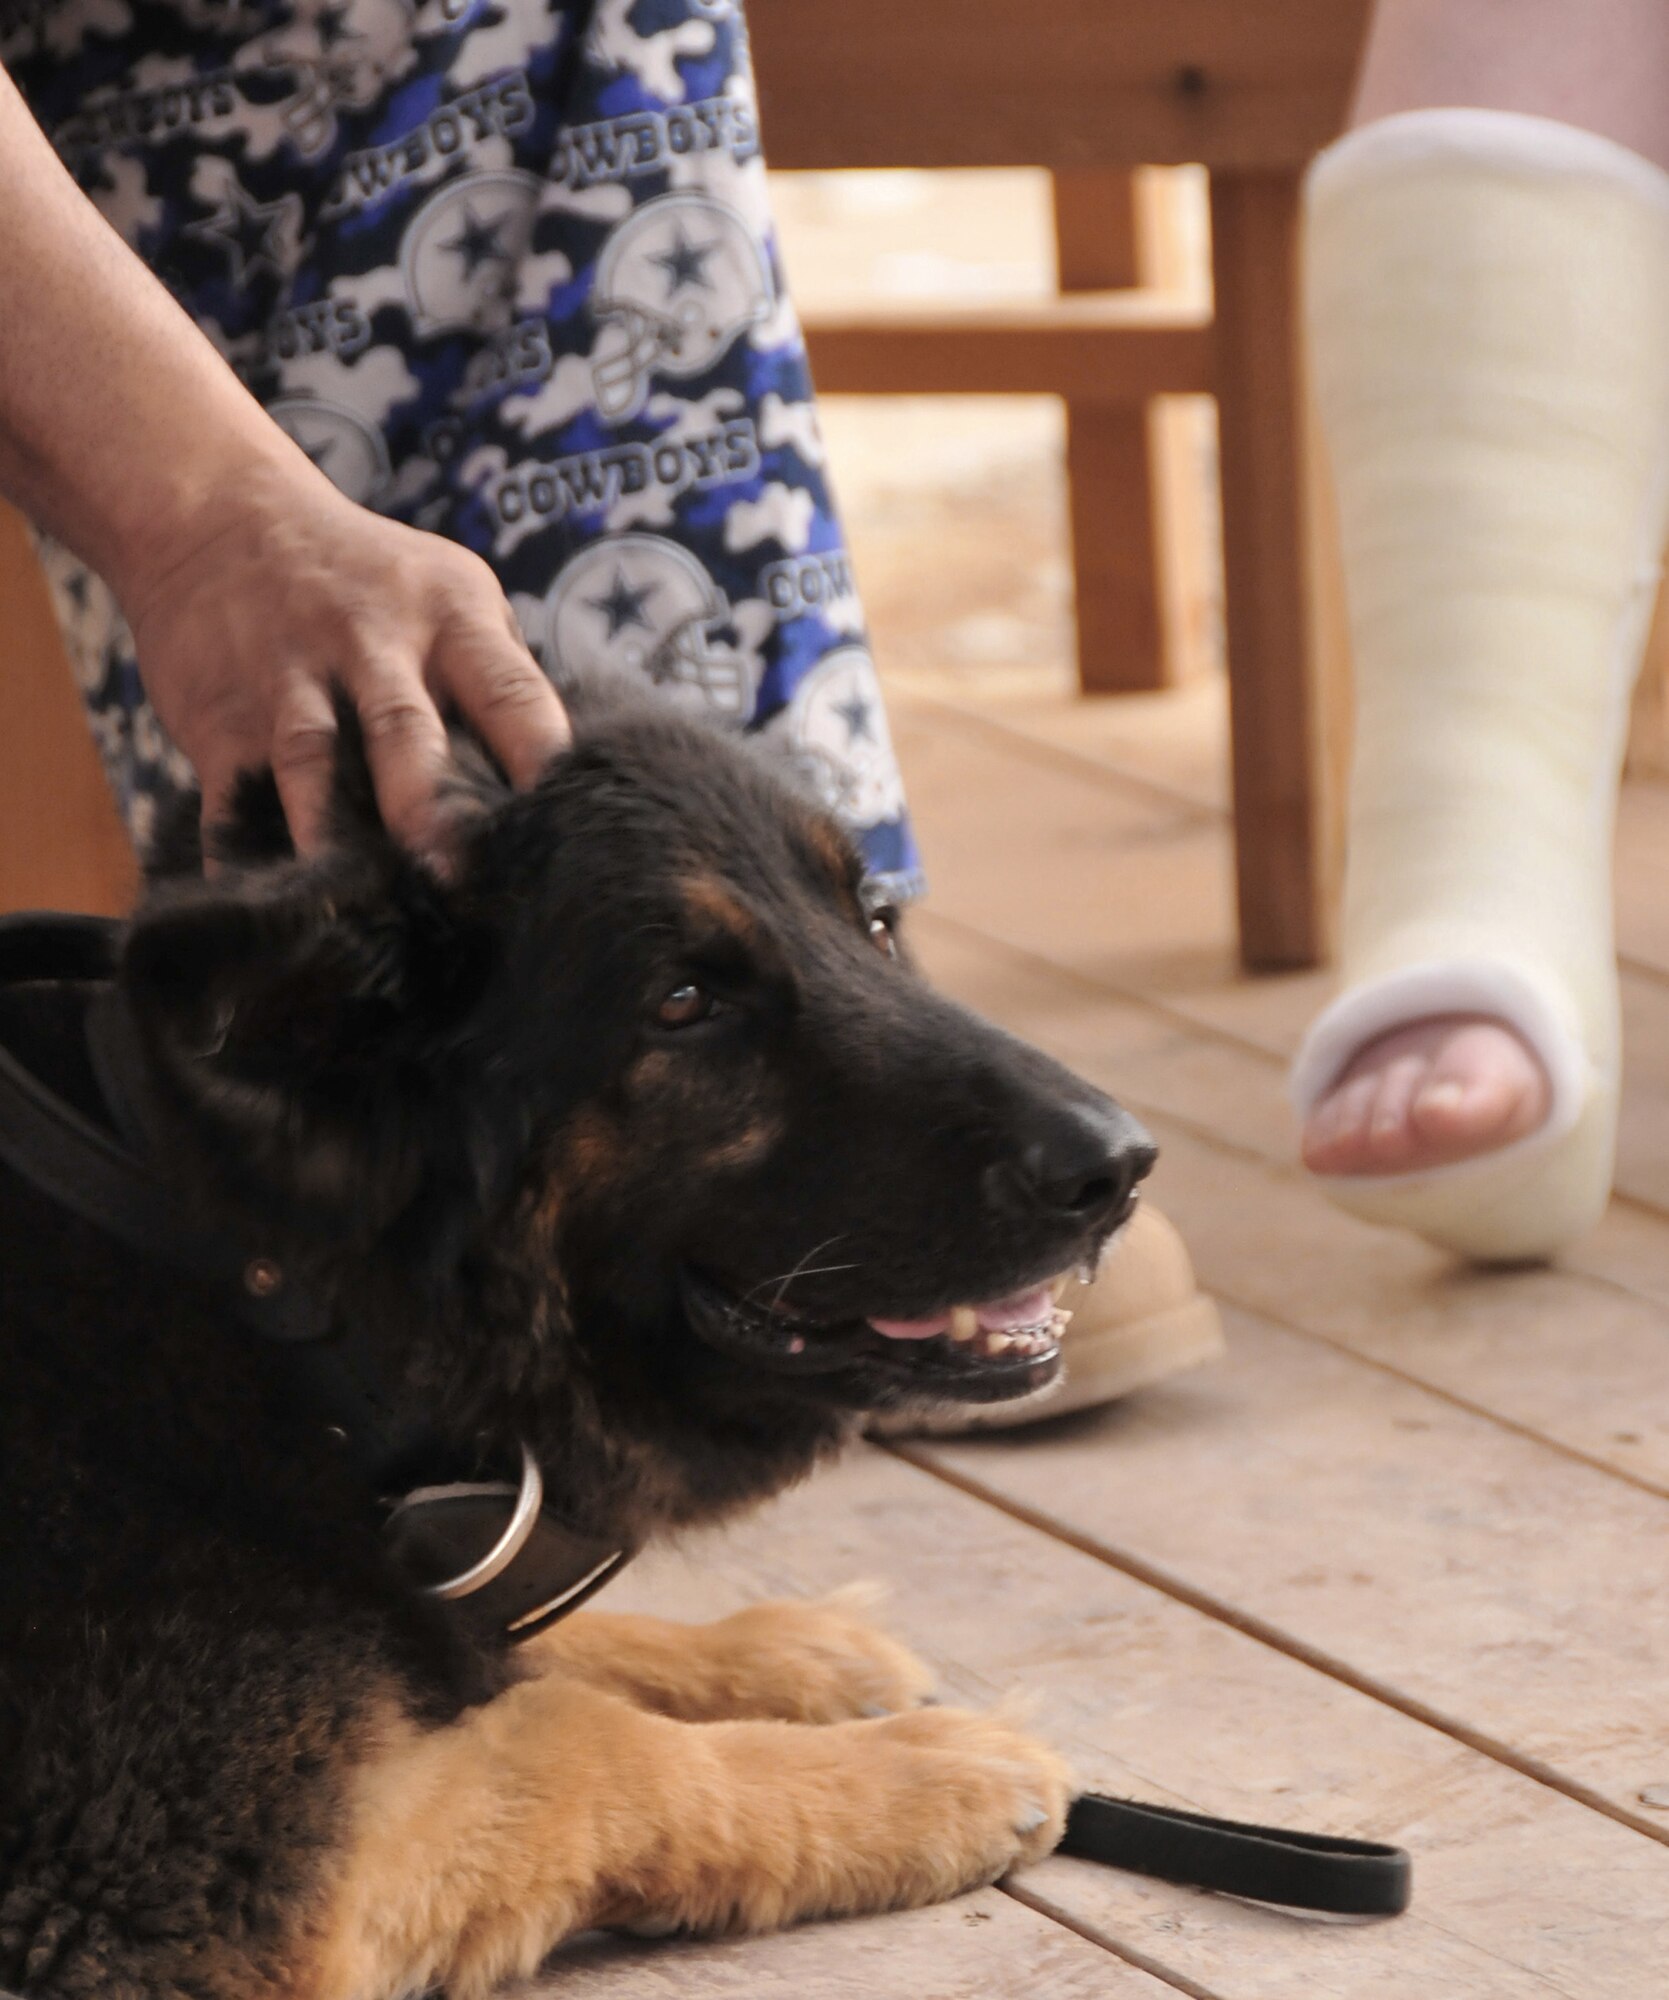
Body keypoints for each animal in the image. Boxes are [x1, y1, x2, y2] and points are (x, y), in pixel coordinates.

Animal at [0, 692, 1144, 2000]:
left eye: (872, 922)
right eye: (685, 1003)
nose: (1120, 1167)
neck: (273, 1305)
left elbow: (541, 1647)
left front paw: (781, 1653)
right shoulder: (223, 1899)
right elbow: (581, 1738)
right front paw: (925, 1769)